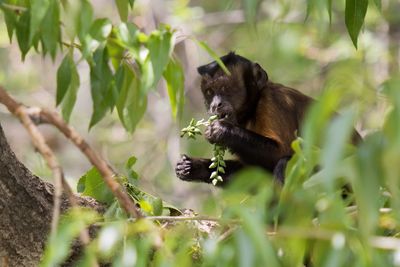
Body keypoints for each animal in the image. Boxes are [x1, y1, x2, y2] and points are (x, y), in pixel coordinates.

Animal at [175, 51, 362, 186]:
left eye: (225, 88)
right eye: (209, 92)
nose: (215, 105)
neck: (253, 107)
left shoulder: (272, 101)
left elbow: (282, 152)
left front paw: (221, 130)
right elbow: (251, 171)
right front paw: (193, 167)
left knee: (284, 163)